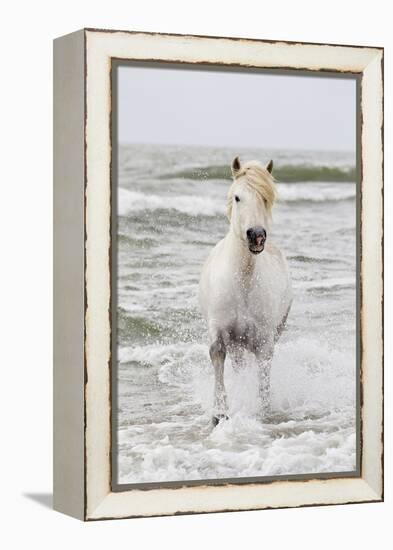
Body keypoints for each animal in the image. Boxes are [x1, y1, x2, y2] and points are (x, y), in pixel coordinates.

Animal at [199, 155, 290, 426]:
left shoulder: (264, 340)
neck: (243, 283)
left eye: (266, 198)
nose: (257, 236)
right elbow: (218, 358)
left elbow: (263, 373)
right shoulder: (219, 332)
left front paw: (263, 411)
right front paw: (219, 414)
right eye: (238, 197)